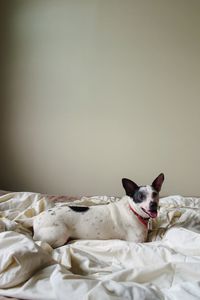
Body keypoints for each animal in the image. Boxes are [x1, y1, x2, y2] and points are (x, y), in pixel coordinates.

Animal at [32, 172, 164, 247]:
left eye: (155, 194)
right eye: (140, 197)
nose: (153, 205)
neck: (133, 211)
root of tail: (35, 218)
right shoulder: (138, 242)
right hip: (60, 234)